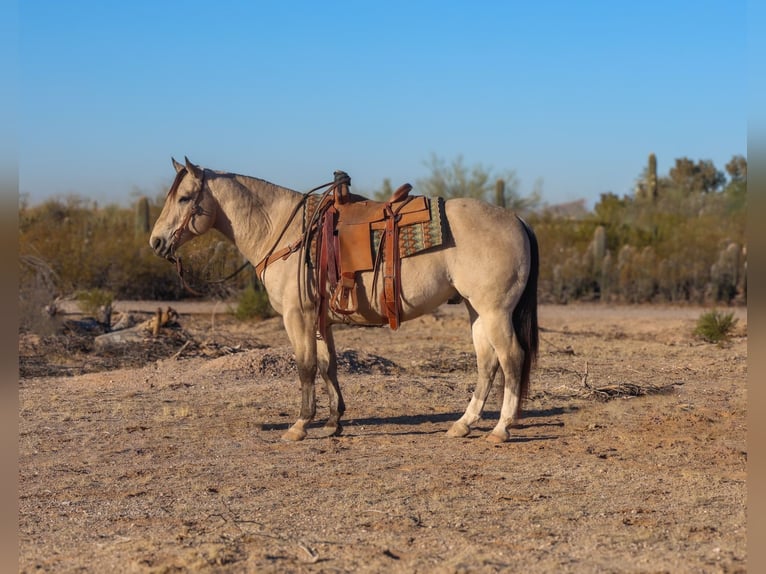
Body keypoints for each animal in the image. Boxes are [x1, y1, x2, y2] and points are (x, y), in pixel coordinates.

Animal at [150, 158, 540, 446]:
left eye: (184, 198)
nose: (156, 242)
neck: (282, 230)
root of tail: (517, 219)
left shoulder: (298, 317)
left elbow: (305, 366)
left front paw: (300, 425)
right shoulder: (321, 321)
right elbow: (328, 366)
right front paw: (333, 422)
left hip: (495, 312)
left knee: (511, 359)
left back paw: (500, 429)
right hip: (477, 312)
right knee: (487, 363)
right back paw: (463, 423)